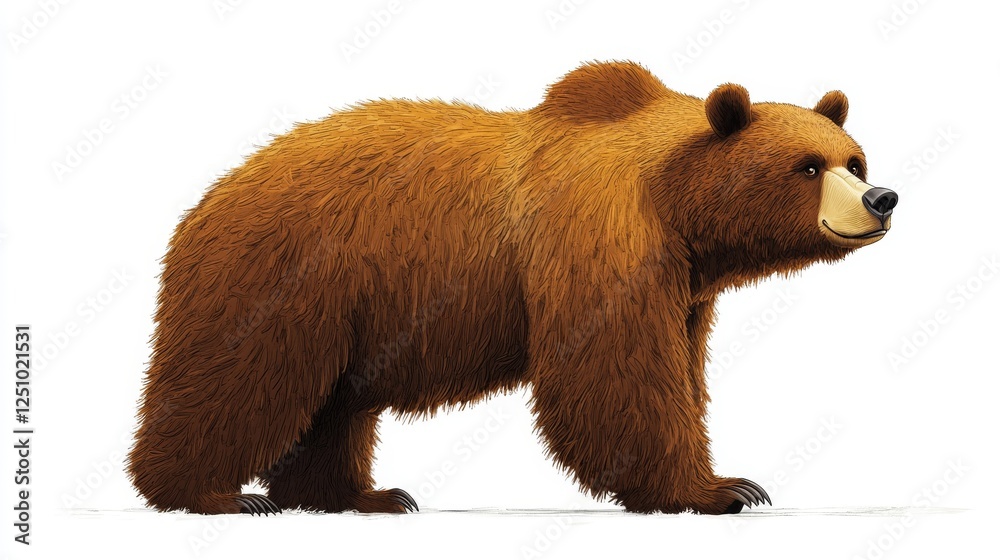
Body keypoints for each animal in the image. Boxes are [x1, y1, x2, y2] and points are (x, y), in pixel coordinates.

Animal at [127, 61, 896, 516]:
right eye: (806, 166)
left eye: (854, 159)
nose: (881, 198)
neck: (676, 202)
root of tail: (208, 197)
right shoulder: (601, 238)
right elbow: (618, 375)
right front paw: (714, 489)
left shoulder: (686, 285)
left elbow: (679, 361)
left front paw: (730, 478)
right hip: (280, 276)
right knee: (238, 379)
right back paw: (213, 494)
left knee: (334, 404)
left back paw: (365, 496)